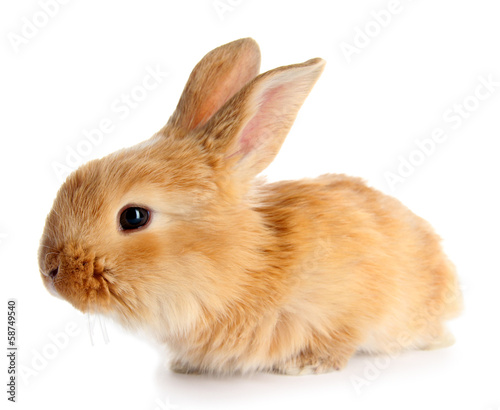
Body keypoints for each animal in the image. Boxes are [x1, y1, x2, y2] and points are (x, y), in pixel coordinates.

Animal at [38, 37, 460, 374]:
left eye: (134, 216)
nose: (49, 271)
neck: (245, 263)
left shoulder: (351, 301)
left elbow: (341, 337)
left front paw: (307, 365)